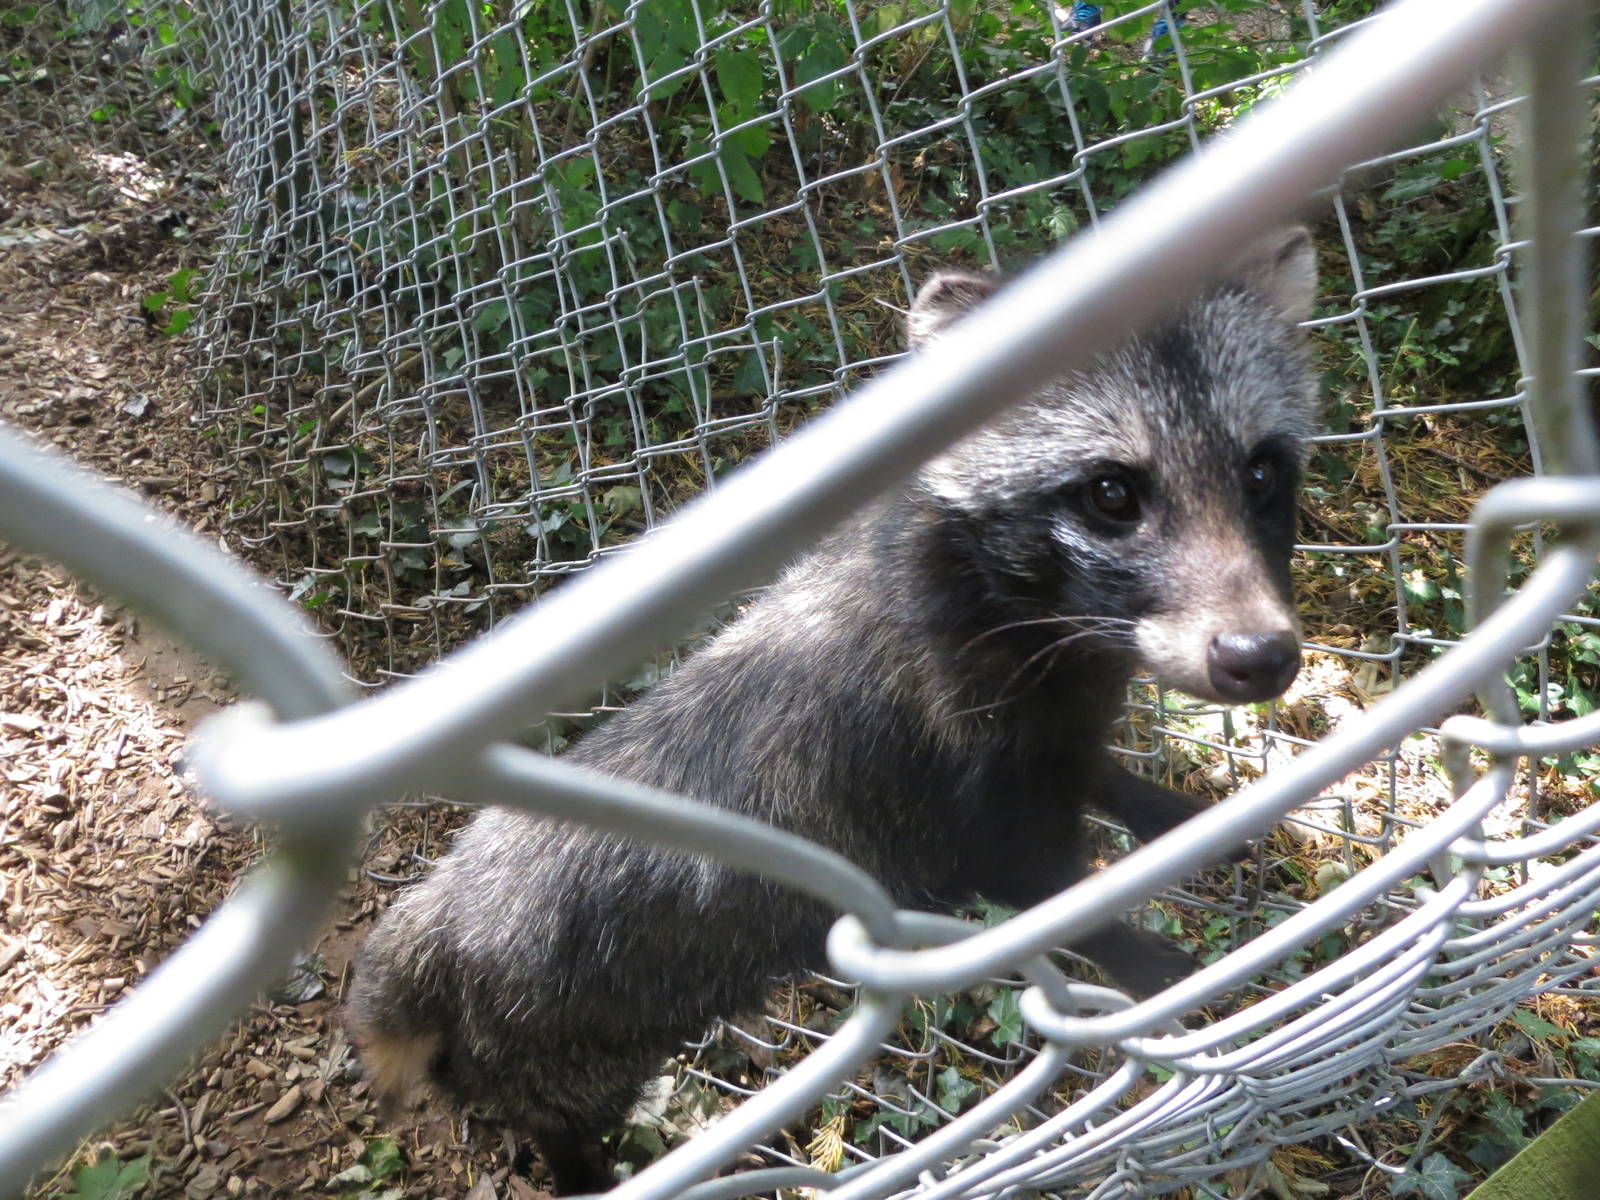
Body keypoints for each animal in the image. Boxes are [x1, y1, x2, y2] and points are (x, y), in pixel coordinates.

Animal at [347, 227, 1319, 1194]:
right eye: (1112, 493)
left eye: (1262, 473)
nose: (1259, 656)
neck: (1050, 634)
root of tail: (428, 920)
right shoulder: (966, 790)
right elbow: (1045, 886)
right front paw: (1137, 952)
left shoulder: (1056, 726)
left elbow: (1096, 772)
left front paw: (1165, 809)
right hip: (562, 1061)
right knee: (560, 1132)